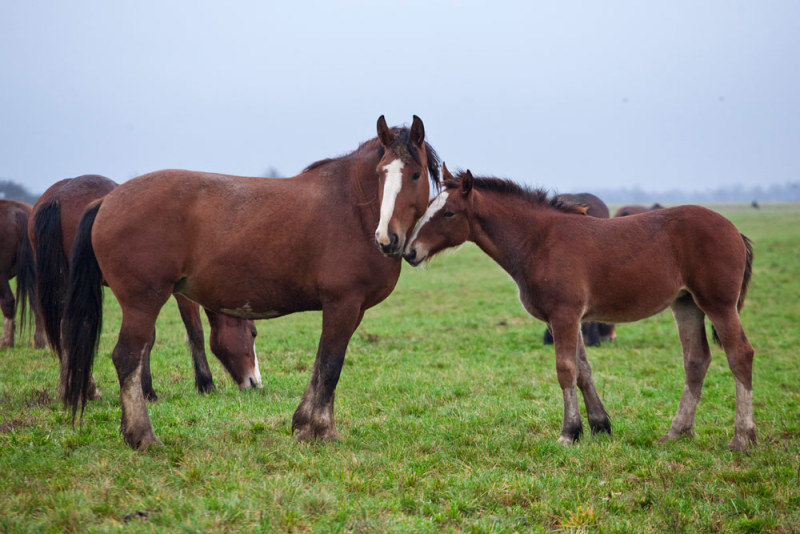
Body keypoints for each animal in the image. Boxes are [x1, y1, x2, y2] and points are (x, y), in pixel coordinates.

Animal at [28, 176, 262, 402]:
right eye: (253, 333)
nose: (255, 382)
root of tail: (56, 198)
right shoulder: (179, 295)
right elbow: (193, 333)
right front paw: (204, 384)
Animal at [63, 117, 440, 452]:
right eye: (380, 174)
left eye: (415, 174)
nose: (387, 239)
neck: (354, 207)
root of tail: (107, 201)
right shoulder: (342, 304)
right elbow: (331, 365)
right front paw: (319, 430)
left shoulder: (351, 309)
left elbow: (322, 363)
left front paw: (307, 424)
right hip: (143, 301)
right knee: (127, 358)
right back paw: (143, 436)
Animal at [406, 166, 756, 452]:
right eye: (429, 206)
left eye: (449, 213)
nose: (410, 252)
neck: (539, 242)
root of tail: (734, 230)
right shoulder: (563, 318)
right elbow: (583, 369)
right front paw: (599, 425)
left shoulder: (565, 315)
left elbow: (565, 370)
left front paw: (568, 432)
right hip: (686, 304)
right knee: (696, 360)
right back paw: (677, 432)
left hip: (719, 304)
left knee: (740, 354)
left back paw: (742, 437)